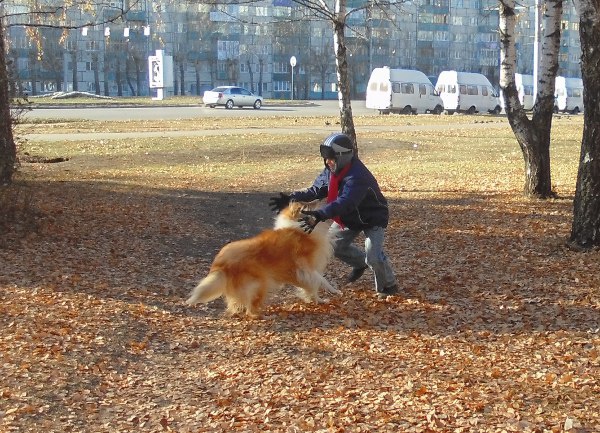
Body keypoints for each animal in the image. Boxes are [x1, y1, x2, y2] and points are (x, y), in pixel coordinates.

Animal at [185, 200, 340, 318]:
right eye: (307, 205)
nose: (322, 199)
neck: (297, 227)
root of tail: (220, 264)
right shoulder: (306, 269)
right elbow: (320, 281)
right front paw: (331, 292)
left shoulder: (303, 273)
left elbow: (314, 286)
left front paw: (319, 300)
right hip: (259, 284)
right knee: (250, 311)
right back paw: (264, 316)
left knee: (237, 305)